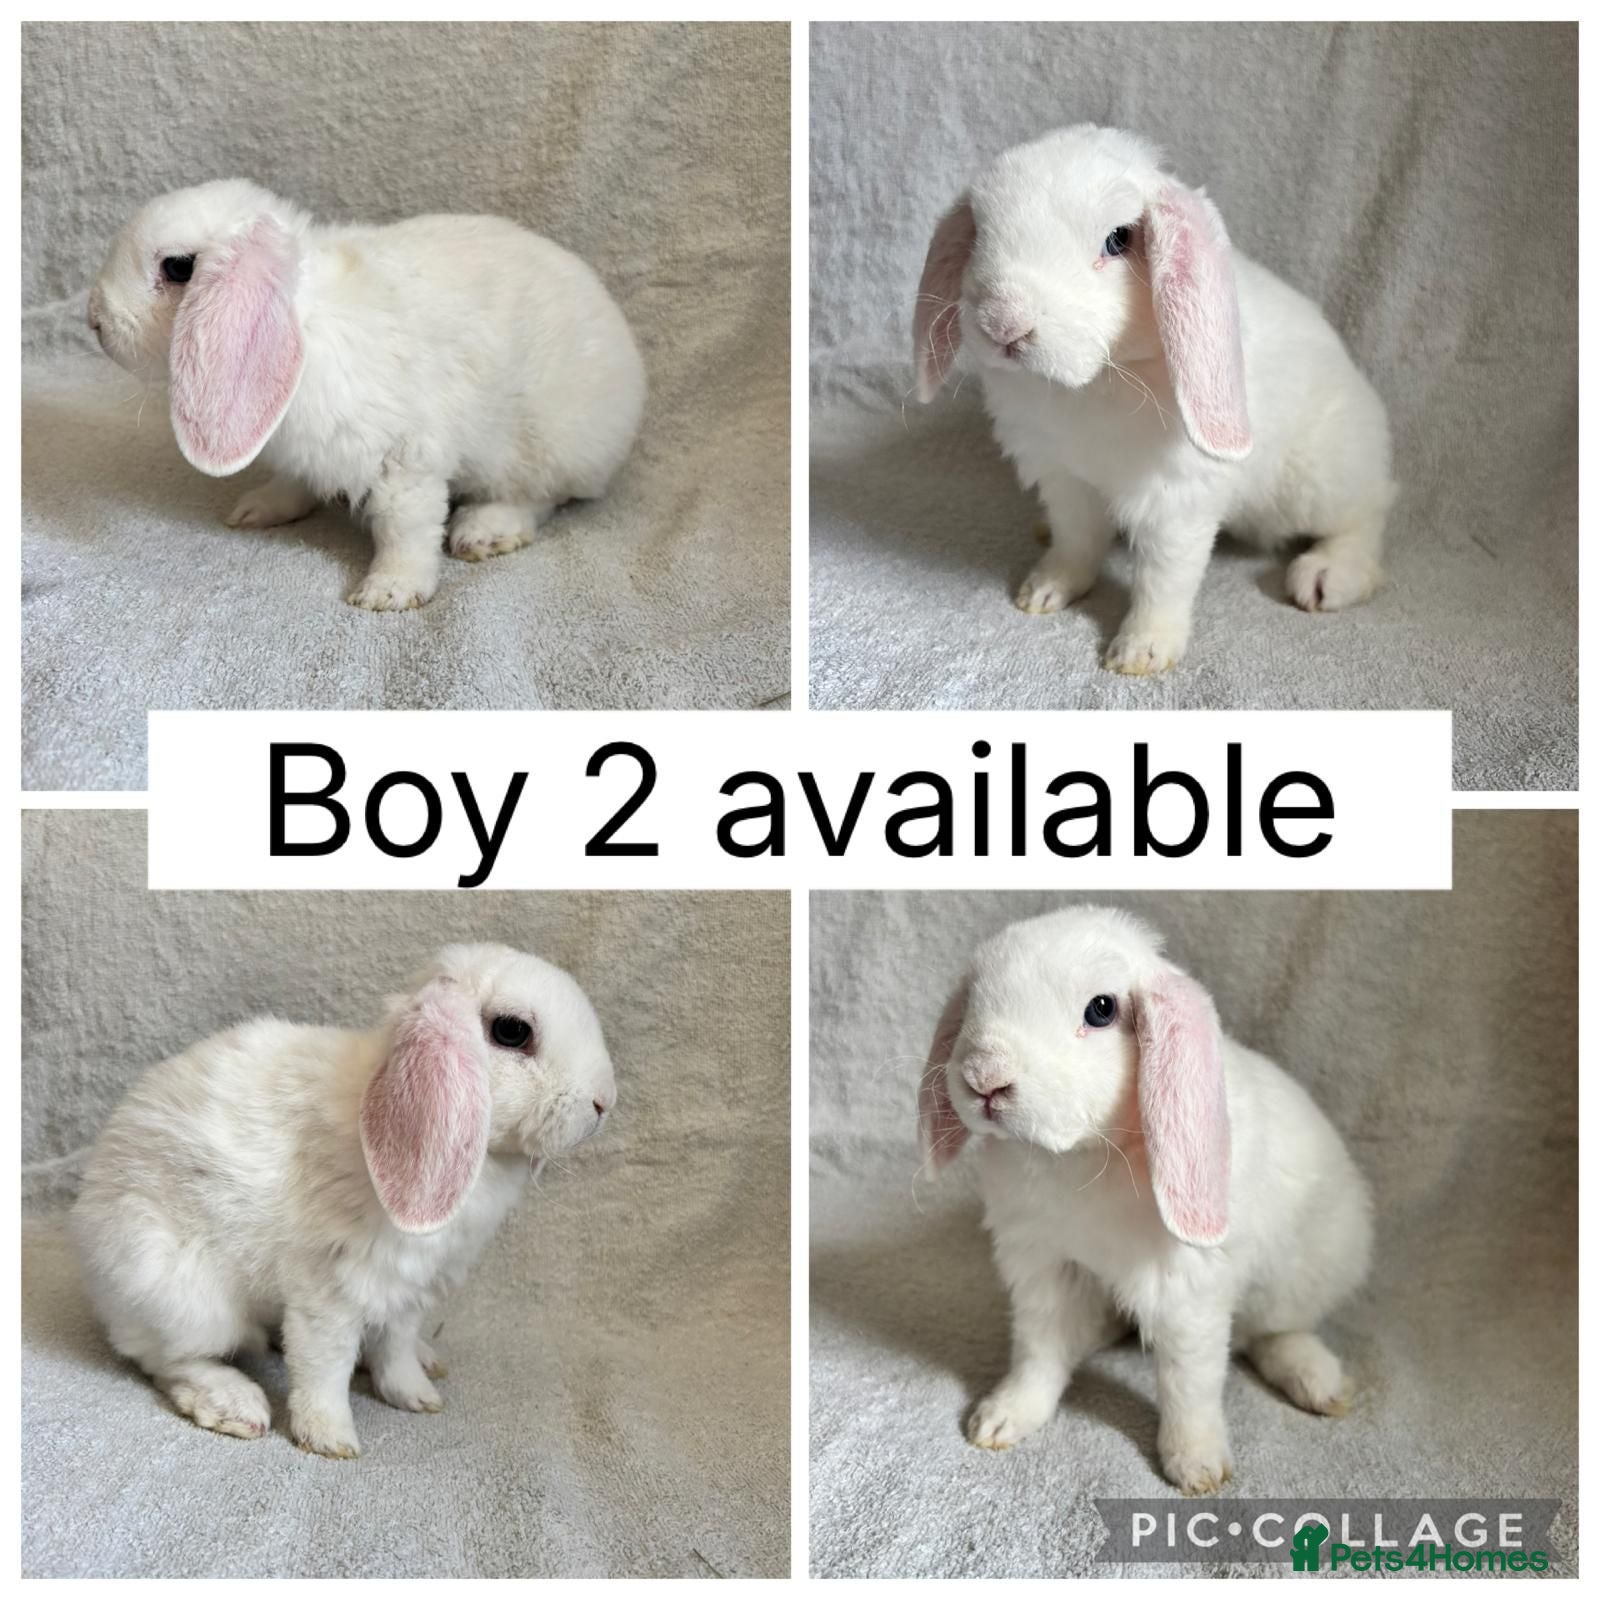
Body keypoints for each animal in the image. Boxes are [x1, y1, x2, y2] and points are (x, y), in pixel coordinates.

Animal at [71, 943, 616, 1459]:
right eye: (511, 1031)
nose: (603, 1103)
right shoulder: (330, 1289)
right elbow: (323, 1365)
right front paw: (329, 1438)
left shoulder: (409, 1290)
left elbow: (396, 1348)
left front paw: (416, 1396)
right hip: (181, 1295)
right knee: (166, 1361)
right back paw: (235, 1402)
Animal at [87, 179, 646, 611]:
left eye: (179, 268)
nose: (95, 323)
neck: (304, 321)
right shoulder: (302, 454)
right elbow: (293, 483)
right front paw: (257, 510)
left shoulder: (406, 461)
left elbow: (406, 529)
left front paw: (389, 592)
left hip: (543, 446)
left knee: (540, 498)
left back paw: (483, 530)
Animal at [913, 125, 1396, 675]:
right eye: (979, 233)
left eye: (1118, 239)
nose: (1003, 322)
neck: (1096, 382)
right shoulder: (1065, 480)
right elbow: (1076, 541)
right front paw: (1043, 591)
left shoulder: (1176, 502)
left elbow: (1165, 577)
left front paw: (1140, 652)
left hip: (1312, 483)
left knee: (1369, 512)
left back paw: (1326, 576)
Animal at [917, 906, 1372, 1494]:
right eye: (974, 998)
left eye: (1102, 1009)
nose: (984, 1076)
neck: (1081, 1157)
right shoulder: (1045, 1271)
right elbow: (1038, 1353)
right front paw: (1000, 1419)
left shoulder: (1187, 1295)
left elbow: (1189, 1383)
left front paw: (1195, 1466)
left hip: (1297, 1281)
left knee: (1270, 1333)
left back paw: (1318, 1381)